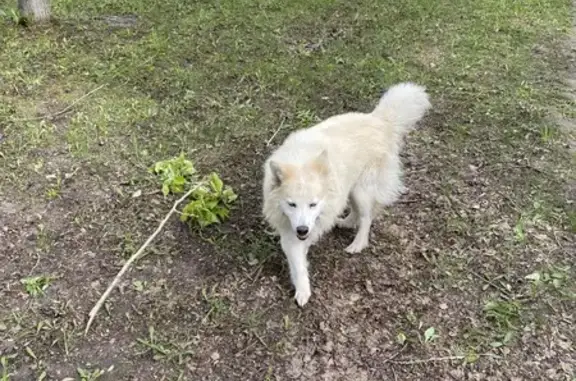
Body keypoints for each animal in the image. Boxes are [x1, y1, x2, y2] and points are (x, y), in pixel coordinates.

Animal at [264, 81, 430, 304]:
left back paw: (357, 244)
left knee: (366, 217)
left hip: (361, 191)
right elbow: (298, 264)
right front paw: (302, 290)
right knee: (355, 212)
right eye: (291, 204)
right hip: (350, 188)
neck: (301, 161)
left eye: (313, 204)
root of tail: (379, 119)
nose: (302, 230)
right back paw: (344, 222)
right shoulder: (291, 231)